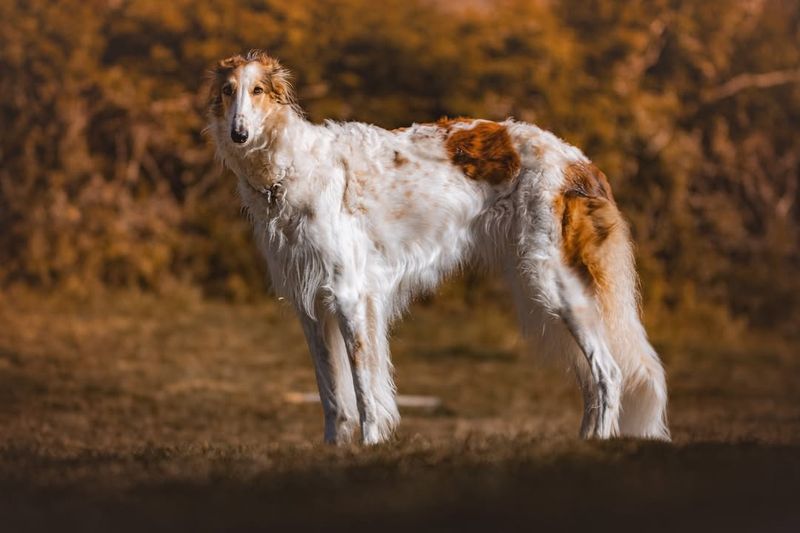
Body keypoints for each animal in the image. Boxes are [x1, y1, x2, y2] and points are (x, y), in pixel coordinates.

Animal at [205, 50, 668, 442]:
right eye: (228, 91)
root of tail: (581, 162)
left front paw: (370, 447)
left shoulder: (350, 295)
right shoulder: (311, 306)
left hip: (554, 283)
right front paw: (335, 451)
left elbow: (365, 393)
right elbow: (333, 398)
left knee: (609, 373)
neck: (289, 170)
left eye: (258, 90)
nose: (239, 133)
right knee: (592, 380)